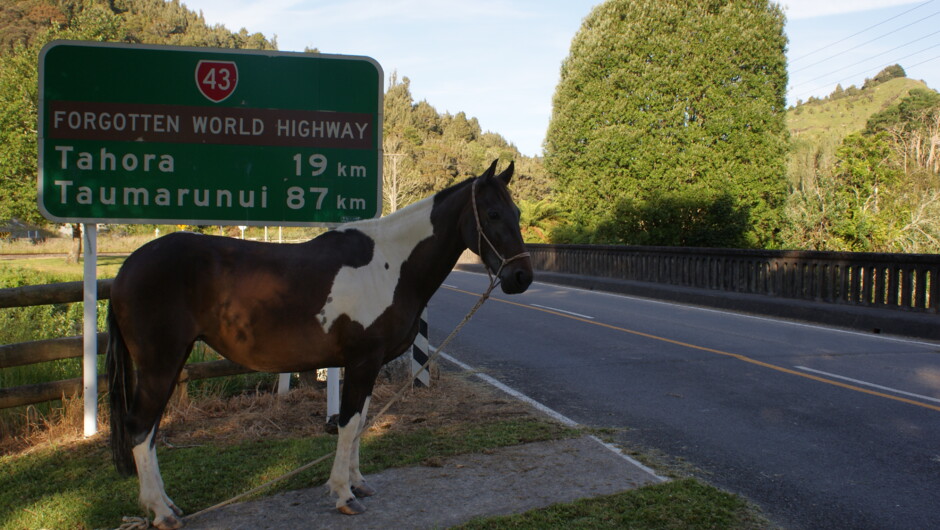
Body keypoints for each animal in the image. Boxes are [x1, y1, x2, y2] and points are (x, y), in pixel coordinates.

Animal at [106, 159, 532, 524]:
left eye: (517, 213)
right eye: (493, 214)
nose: (521, 277)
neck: (390, 264)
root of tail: (128, 267)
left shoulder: (367, 365)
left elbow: (360, 421)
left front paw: (358, 483)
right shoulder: (362, 361)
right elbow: (347, 422)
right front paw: (344, 495)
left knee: (150, 430)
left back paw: (167, 505)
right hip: (160, 365)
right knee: (141, 426)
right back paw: (162, 512)